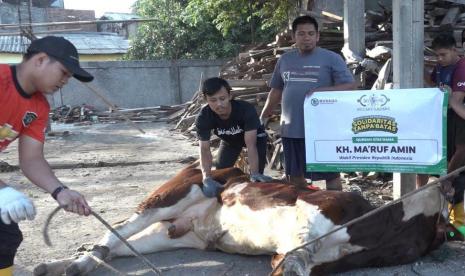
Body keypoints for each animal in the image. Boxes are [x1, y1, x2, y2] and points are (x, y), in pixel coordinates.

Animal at [35, 165, 450, 274]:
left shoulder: (304, 258)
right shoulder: (309, 217)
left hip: (179, 234)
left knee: (126, 246)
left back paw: (63, 264)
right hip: (178, 192)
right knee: (123, 229)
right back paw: (74, 264)